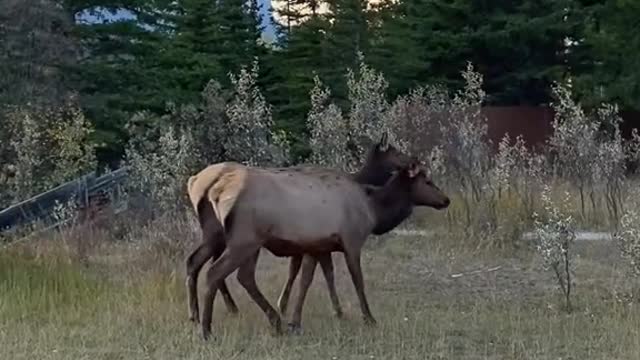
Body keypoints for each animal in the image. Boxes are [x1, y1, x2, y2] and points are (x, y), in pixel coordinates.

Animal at [188, 133, 412, 324]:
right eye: (396, 152)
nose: (412, 161)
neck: (358, 180)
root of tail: (193, 181)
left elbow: (316, 272)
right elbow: (307, 272)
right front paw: (287, 306)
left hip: (214, 234)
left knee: (195, 261)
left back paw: (197, 314)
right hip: (236, 237)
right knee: (217, 267)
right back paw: (227, 311)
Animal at [195, 158, 450, 340]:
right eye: (427, 181)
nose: (446, 200)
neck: (374, 212)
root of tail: (216, 192)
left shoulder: (316, 246)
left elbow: (309, 280)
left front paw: (297, 322)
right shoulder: (352, 240)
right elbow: (358, 281)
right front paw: (369, 318)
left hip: (248, 241)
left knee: (243, 276)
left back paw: (275, 322)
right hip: (244, 240)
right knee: (215, 272)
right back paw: (207, 330)